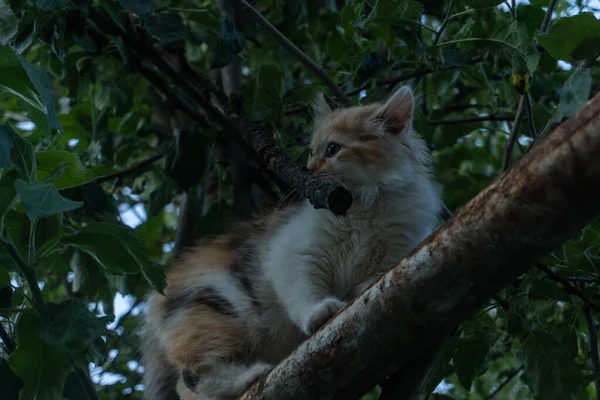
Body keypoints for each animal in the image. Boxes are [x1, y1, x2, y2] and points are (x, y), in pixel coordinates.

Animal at [139, 86, 440, 398]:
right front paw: (318, 312)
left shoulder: (395, 252)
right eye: (312, 151)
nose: (308, 170)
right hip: (213, 309)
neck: (362, 207)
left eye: (332, 149)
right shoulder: (295, 252)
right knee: (192, 378)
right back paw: (248, 377)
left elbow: (372, 281)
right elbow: (303, 291)